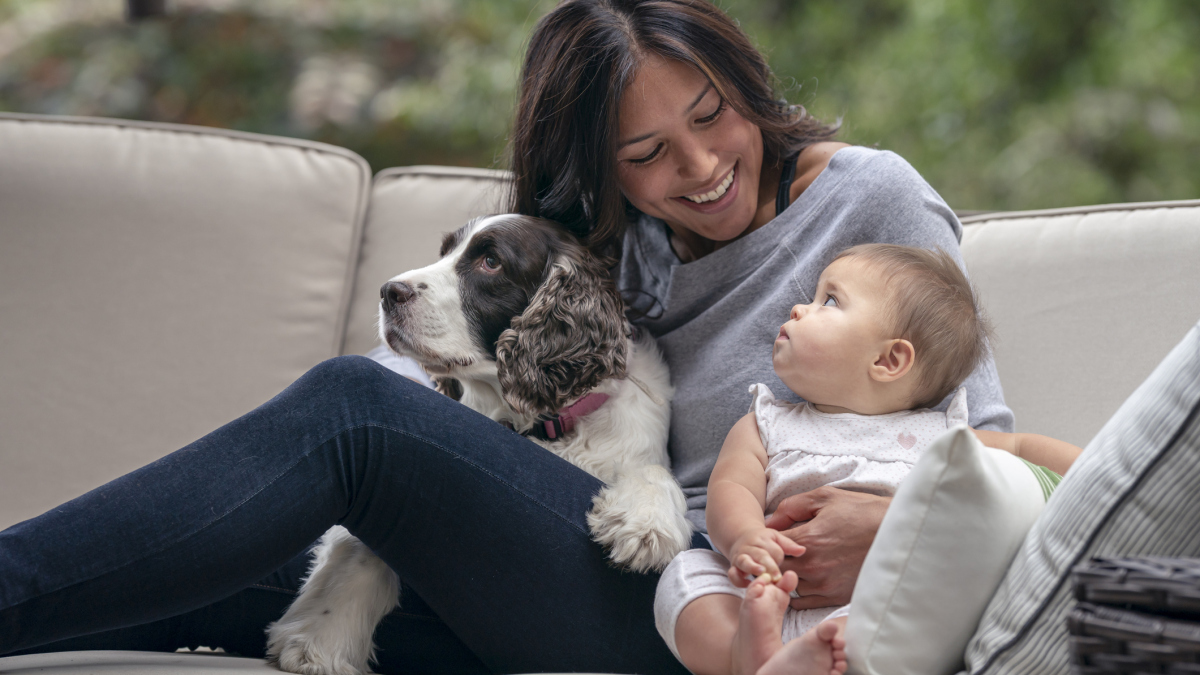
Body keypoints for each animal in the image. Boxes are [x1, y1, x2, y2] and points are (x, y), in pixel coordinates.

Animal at [266, 213, 691, 672]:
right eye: (444, 252)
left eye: (491, 261)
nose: (387, 291)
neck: (538, 422)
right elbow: (359, 544)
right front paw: (320, 637)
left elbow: (651, 471)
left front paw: (646, 524)